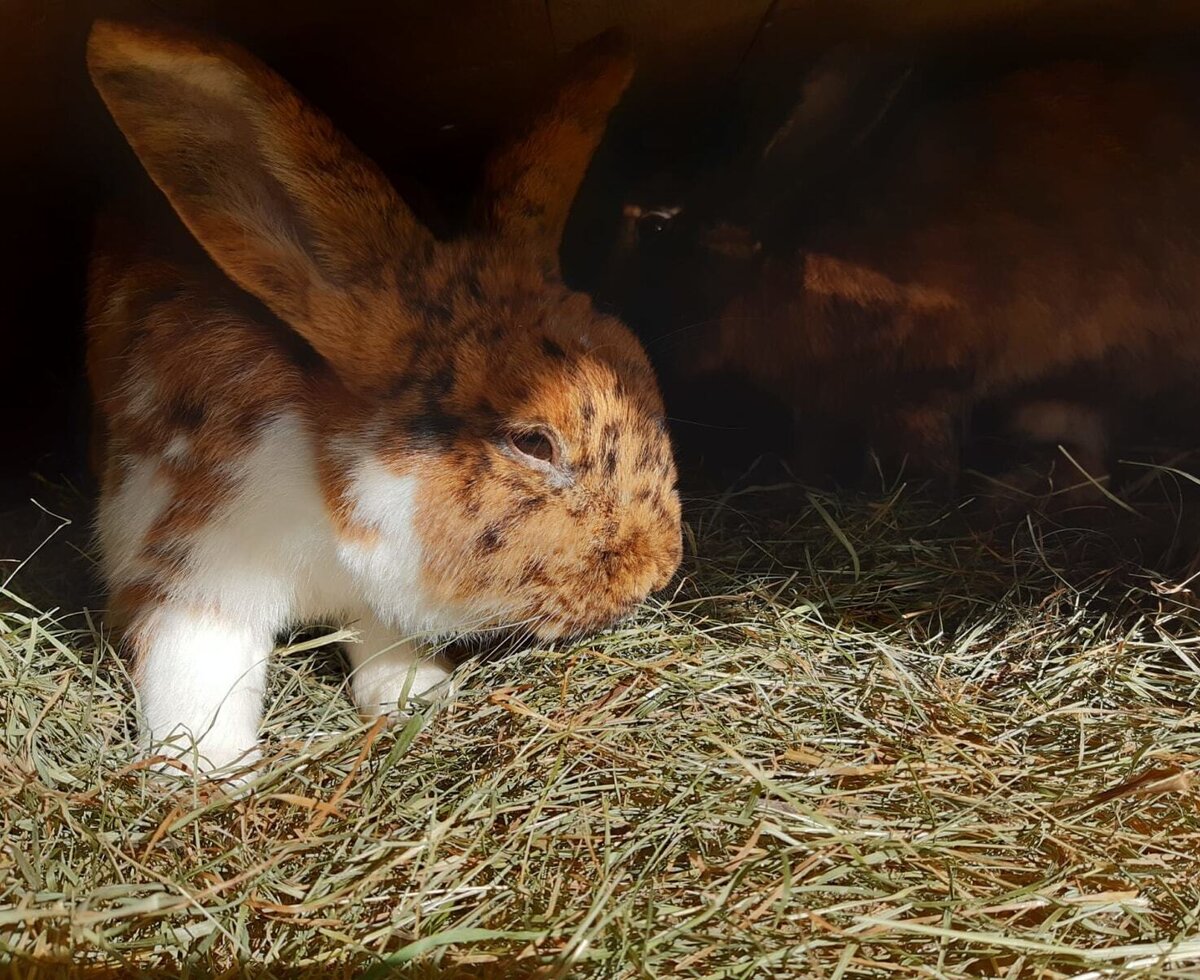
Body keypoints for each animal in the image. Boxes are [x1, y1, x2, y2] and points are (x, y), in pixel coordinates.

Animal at [84, 19, 682, 777]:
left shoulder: (368, 597)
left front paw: (417, 695)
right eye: (533, 442)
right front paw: (207, 770)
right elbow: (196, 668)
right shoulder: (182, 566)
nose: (657, 571)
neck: (321, 486)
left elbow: (378, 635)